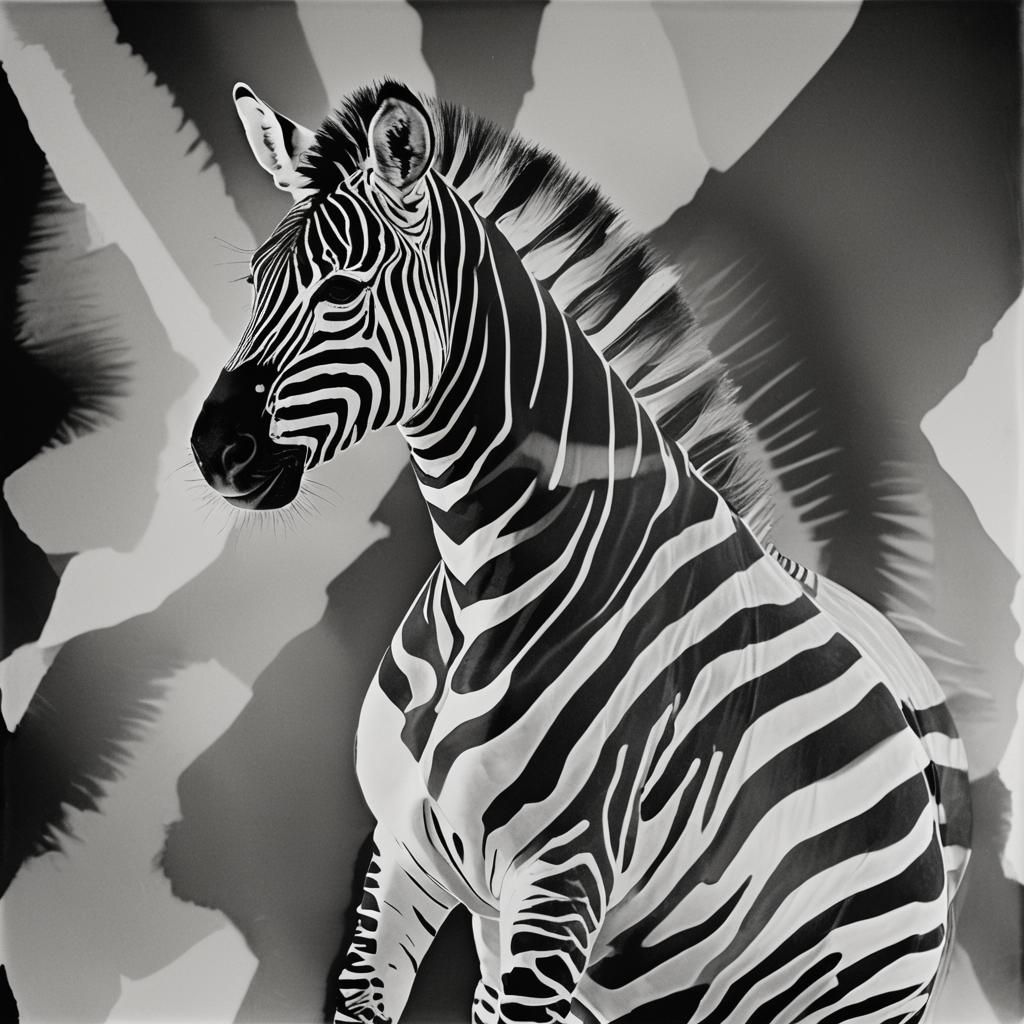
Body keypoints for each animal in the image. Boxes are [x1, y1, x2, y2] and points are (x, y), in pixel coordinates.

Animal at [190, 82, 971, 1024]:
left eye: (343, 289)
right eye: (254, 282)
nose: (213, 448)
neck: (482, 581)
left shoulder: (561, 885)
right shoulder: (408, 857)